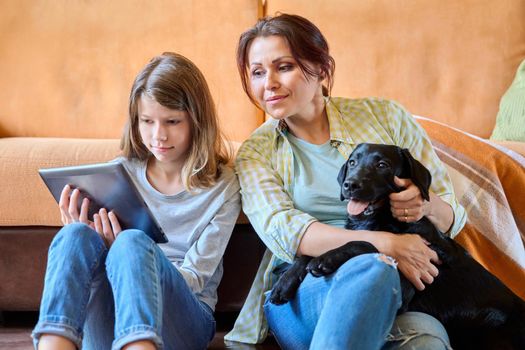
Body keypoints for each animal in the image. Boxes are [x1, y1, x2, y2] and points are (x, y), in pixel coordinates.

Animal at [270, 143, 524, 350]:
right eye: (352, 162)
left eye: (382, 165)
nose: (349, 184)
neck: (379, 219)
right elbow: (308, 253)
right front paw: (285, 280)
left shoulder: (405, 283)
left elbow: (366, 242)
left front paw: (326, 259)